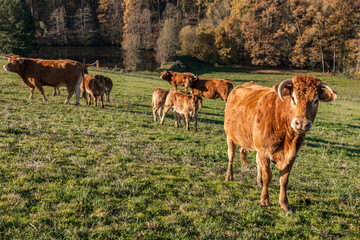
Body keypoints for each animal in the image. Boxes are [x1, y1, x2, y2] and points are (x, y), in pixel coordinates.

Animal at [225, 75, 338, 212]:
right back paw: (229, 176)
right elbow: (267, 176)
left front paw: (284, 203)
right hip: (230, 136)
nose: (302, 123)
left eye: (316, 100)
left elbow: (284, 180)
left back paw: (258, 181)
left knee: (258, 163)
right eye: (293, 98)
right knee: (231, 156)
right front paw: (264, 200)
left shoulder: (291, 155)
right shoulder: (264, 151)